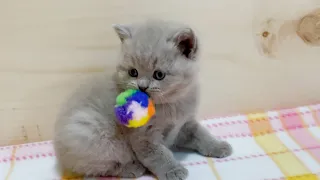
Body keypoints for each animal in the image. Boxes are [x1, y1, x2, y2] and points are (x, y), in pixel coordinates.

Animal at [53, 19, 232, 180]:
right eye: (133, 72)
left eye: (159, 74)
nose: (142, 86)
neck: (171, 105)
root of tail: (59, 154)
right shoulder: (144, 136)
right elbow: (158, 155)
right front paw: (173, 171)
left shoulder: (184, 124)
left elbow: (200, 133)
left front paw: (218, 146)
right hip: (90, 132)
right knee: (97, 166)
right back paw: (132, 168)